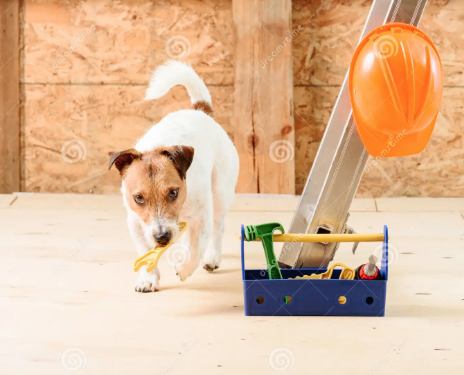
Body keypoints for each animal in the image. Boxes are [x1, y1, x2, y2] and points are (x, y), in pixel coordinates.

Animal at [109, 60, 239, 292]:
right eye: (138, 198)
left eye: (173, 193)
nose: (162, 237)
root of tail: (202, 112)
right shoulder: (136, 223)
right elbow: (145, 251)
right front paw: (148, 279)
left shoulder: (202, 218)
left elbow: (196, 249)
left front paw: (185, 269)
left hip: (221, 193)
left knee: (218, 226)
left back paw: (212, 257)